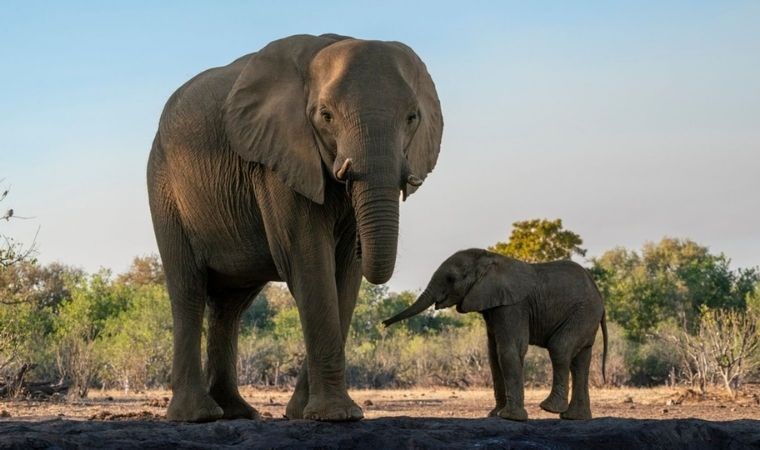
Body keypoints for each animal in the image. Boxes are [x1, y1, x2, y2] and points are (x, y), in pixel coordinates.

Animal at [146, 34, 442, 422]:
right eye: (326, 116)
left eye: (412, 118)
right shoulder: (278, 161)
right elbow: (308, 259)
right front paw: (335, 416)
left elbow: (344, 274)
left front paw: (305, 413)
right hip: (164, 188)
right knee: (188, 289)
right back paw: (198, 416)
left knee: (230, 306)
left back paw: (237, 412)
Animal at [382, 248, 608, 420]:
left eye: (451, 278)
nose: (383, 324)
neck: (489, 259)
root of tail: (599, 297)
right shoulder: (492, 305)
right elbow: (493, 355)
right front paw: (495, 414)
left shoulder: (512, 305)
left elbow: (509, 350)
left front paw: (510, 418)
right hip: (586, 317)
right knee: (580, 362)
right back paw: (575, 418)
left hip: (583, 312)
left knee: (560, 348)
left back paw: (550, 408)